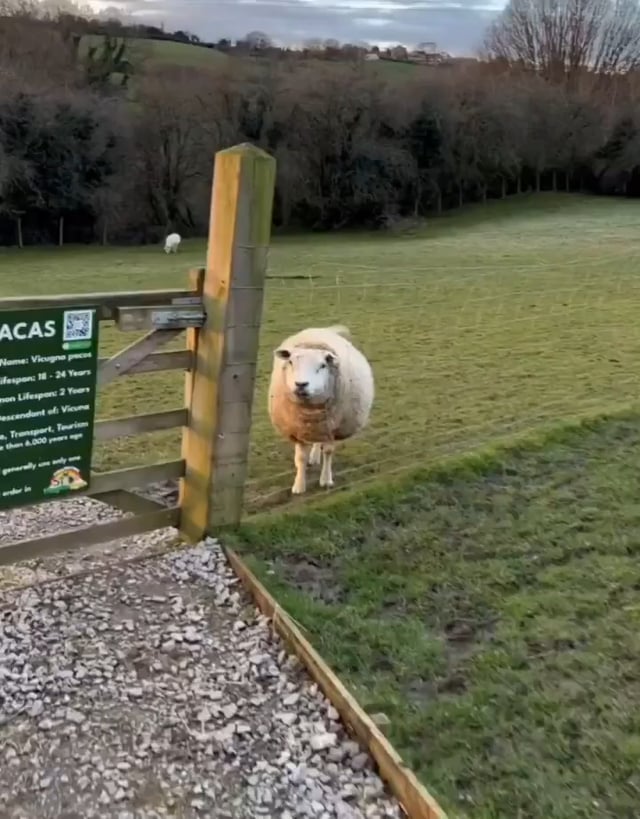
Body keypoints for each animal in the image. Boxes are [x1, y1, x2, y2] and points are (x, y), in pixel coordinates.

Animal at [266, 326, 376, 494]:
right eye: (290, 362)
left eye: (323, 365)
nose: (301, 384)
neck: (310, 412)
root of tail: (320, 329)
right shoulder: (298, 429)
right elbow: (301, 458)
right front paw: (299, 486)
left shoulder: (332, 427)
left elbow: (328, 452)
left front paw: (325, 480)